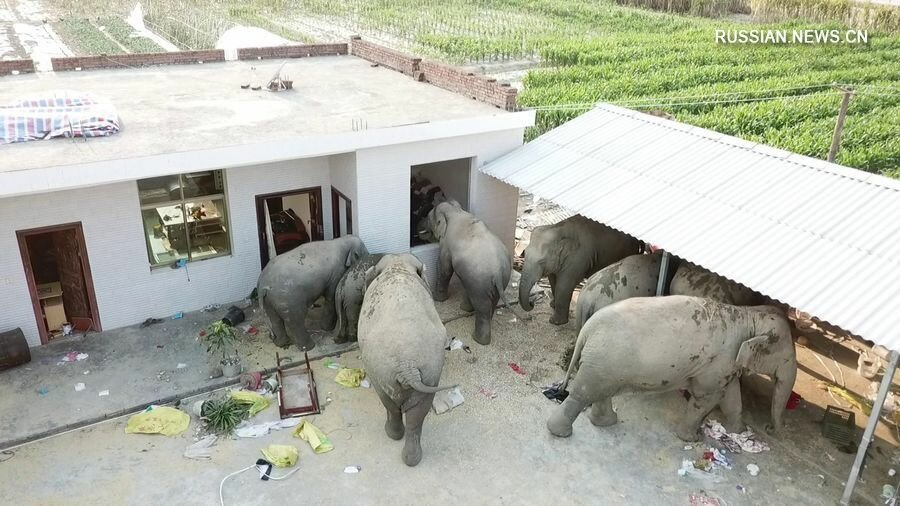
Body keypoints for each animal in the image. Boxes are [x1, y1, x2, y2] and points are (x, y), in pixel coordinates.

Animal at [358, 253, 458, 466]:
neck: (398, 266)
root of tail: (407, 366)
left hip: (381, 373)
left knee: (391, 405)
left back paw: (392, 435)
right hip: (430, 371)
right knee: (417, 415)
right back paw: (411, 458)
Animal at [420, 198, 520, 344]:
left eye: (428, 217)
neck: (456, 211)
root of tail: (497, 272)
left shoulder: (446, 244)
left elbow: (444, 268)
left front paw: (439, 300)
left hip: (480, 284)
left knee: (482, 307)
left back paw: (478, 340)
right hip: (497, 280)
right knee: (491, 303)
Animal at [516, 215, 644, 326]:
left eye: (541, 262)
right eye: (525, 254)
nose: (532, 302)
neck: (558, 228)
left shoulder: (579, 258)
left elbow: (564, 285)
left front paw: (555, 322)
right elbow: (553, 280)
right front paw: (552, 305)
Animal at [544, 294, 800, 440]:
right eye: (787, 357)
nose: (770, 429)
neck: (749, 315)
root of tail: (587, 329)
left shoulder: (724, 364)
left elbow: (732, 395)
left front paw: (738, 430)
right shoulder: (716, 364)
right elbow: (706, 397)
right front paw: (691, 439)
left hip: (606, 365)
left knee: (601, 392)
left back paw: (607, 422)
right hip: (603, 360)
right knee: (583, 393)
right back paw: (560, 433)